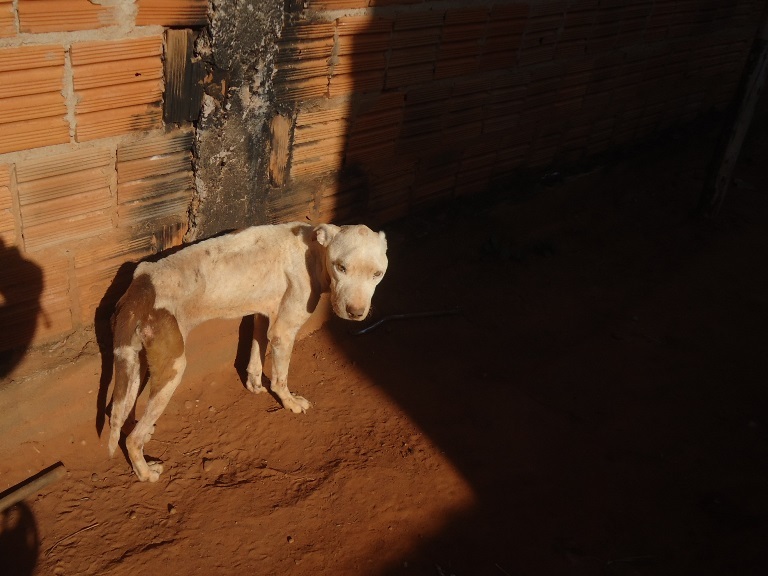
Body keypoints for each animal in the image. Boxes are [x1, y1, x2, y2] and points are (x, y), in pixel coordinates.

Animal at [106, 223, 390, 484]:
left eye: (377, 274)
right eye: (341, 267)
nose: (356, 312)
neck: (313, 251)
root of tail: (141, 285)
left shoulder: (263, 314)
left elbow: (256, 353)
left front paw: (254, 384)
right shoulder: (284, 332)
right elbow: (280, 379)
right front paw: (289, 402)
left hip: (134, 361)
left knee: (118, 414)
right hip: (171, 368)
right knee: (131, 439)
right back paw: (145, 472)